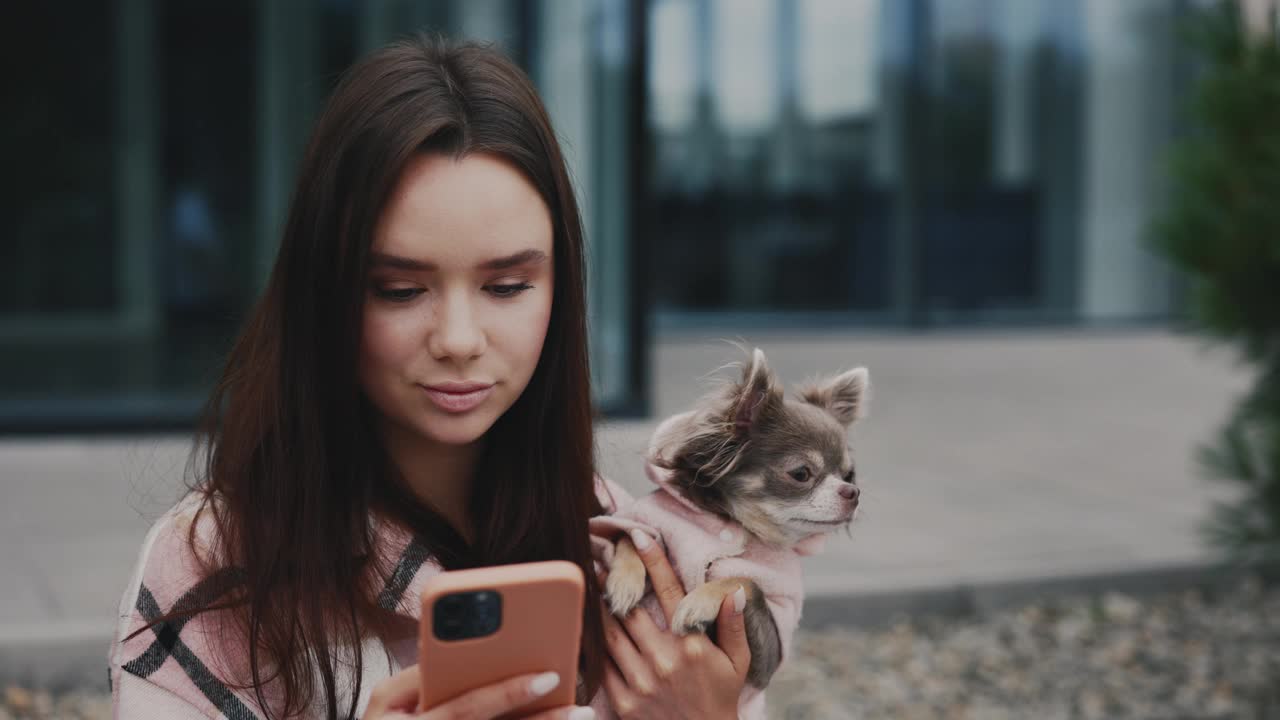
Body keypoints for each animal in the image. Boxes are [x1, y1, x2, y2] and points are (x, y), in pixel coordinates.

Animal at [599, 348, 870, 691]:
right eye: (801, 474)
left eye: (849, 475)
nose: (853, 492)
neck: (738, 522)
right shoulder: (645, 522)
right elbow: (631, 534)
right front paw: (624, 581)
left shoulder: (767, 654)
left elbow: (745, 580)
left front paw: (699, 602)